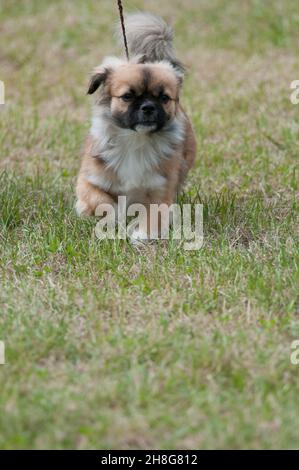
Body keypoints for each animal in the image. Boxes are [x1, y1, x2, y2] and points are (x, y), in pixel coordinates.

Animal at [75, 12, 197, 241]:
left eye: (164, 98)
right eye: (127, 96)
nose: (148, 107)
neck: (135, 140)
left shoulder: (161, 190)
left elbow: (154, 215)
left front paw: (141, 234)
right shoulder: (88, 181)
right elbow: (103, 201)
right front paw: (113, 217)